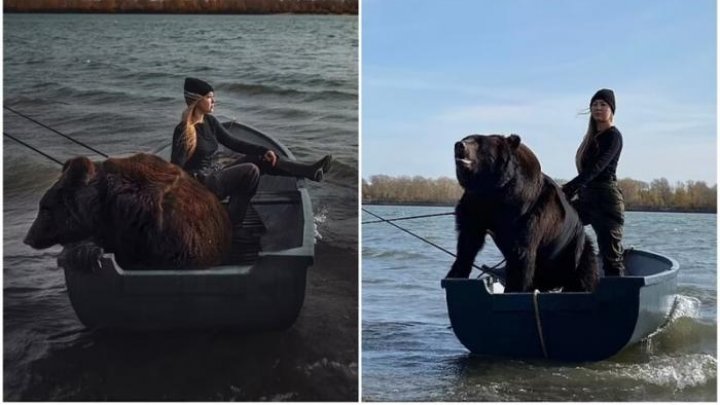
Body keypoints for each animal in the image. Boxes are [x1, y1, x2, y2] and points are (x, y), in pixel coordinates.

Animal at [450, 134, 596, 292]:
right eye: (467, 137)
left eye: (479, 142)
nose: (459, 145)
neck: (494, 190)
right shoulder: (476, 205)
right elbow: (468, 240)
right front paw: (455, 274)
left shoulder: (529, 213)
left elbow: (521, 254)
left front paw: (514, 287)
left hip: (573, 252)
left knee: (584, 274)